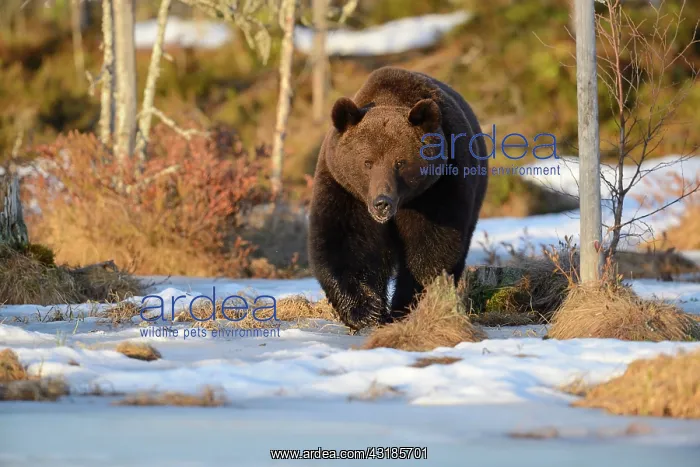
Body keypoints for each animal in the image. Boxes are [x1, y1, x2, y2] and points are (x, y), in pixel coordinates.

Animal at [308, 66, 488, 331]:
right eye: (367, 162)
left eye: (400, 162)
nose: (382, 202)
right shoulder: (344, 189)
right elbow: (345, 243)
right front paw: (366, 310)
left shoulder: (438, 188)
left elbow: (431, 249)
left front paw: (406, 306)